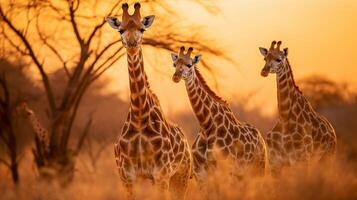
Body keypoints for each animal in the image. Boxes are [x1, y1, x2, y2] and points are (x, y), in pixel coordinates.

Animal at [104, 3, 191, 200]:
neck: (139, 116)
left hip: (181, 176)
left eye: (142, 28)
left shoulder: (161, 175)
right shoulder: (127, 177)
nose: (132, 44)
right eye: (121, 29)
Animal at [170, 46, 268, 184]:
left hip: (258, 168)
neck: (206, 126)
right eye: (174, 64)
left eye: (189, 65)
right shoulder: (200, 175)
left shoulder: (222, 172)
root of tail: (261, 139)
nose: (176, 77)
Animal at [258, 40, 336, 172]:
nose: (264, 72)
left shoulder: (301, 160)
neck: (284, 118)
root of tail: (332, 130)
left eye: (278, 59)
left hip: (327, 157)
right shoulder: (275, 162)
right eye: (265, 58)